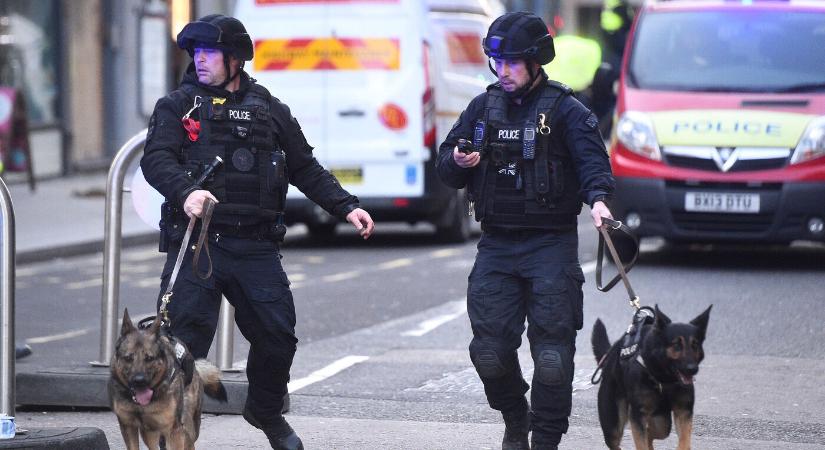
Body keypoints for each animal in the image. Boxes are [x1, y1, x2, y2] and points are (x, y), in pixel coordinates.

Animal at [108, 310, 229, 450]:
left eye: (149, 358)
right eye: (128, 358)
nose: (139, 381)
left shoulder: (173, 430)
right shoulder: (128, 426)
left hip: (188, 426)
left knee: (189, 441)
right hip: (149, 432)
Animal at [588, 304, 712, 448]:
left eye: (695, 345)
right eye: (676, 344)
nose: (692, 369)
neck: (663, 378)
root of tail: (609, 356)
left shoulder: (684, 411)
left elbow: (684, 442)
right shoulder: (637, 415)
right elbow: (641, 444)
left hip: (662, 420)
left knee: (653, 433)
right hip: (613, 426)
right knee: (617, 441)